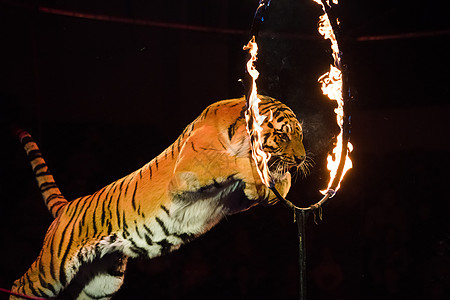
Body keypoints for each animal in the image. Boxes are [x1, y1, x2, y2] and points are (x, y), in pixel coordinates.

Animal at [9, 96, 306, 300]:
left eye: (300, 135)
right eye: (282, 134)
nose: (302, 159)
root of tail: (68, 206)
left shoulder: (232, 200)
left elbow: (275, 181)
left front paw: (273, 187)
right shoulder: (192, 165)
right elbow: (233, 162)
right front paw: (262, 177)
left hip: (102, 283)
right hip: (52, 268)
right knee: (20, 285)